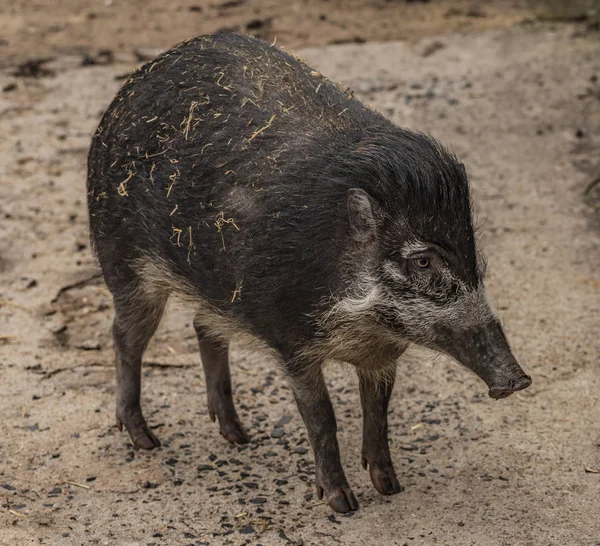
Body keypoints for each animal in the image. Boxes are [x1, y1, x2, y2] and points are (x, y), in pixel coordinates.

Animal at [88, 33, 528, 510]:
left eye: (472, 253)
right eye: (423, 261)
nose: (518, 381)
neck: (362, 325)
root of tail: (127, 91)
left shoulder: (380, 355)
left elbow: (378, 411)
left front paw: (390, 488)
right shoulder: (292, 344)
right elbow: (322, 418)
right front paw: (343, 504)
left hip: (214, 291)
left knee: (203, 329)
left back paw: (239, 437)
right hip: (124, 265)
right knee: (125, 338)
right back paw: (145, 441)